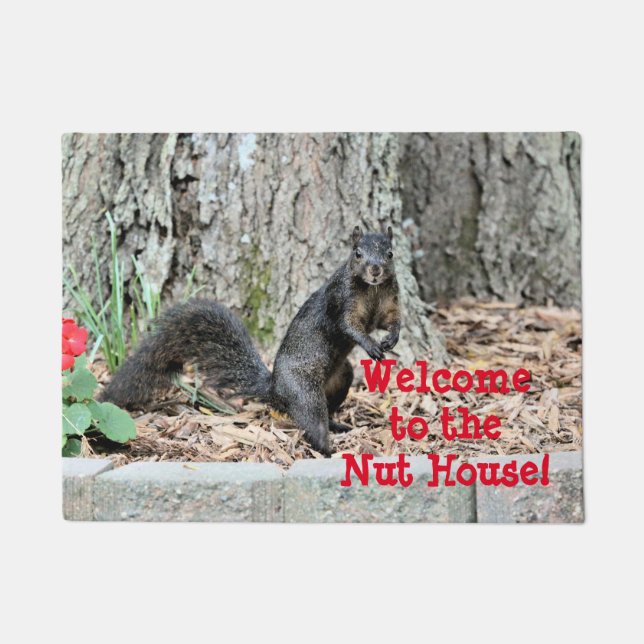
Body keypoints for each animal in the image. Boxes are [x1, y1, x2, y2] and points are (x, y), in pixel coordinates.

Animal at [102, 225, 401, 456]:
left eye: (390, 253)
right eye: (357, 253)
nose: (375, 270)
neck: (372, 290)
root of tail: (275, 389)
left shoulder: (388, 302)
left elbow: (391, 321)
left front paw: (392, 338)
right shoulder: (341, 300)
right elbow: (348, 326)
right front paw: (371, 345)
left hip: (340, 379)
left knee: (328, 407)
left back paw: (336, 425)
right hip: (303, 390)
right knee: (312, 419)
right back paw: (326, 448)